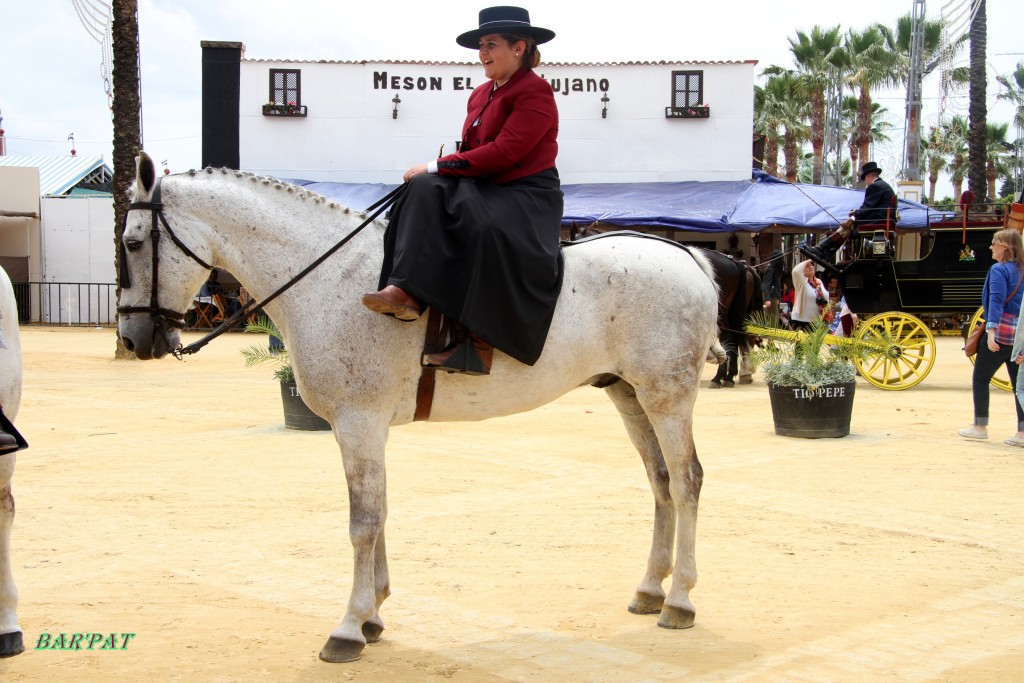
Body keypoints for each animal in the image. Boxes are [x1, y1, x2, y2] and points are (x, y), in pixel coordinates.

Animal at [119, 152, 724, 663]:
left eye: (132, 243)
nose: (132, 338)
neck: (333, 279)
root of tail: (686, 256)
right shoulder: (365, 429)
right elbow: (379, 513)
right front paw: (372, 615)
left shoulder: (358, 424)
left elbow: (362, 522)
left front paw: (349, 627)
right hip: (629, 395)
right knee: (661, 482)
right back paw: (651, 588)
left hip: (666, 398)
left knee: (687, 481)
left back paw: (680, 599)